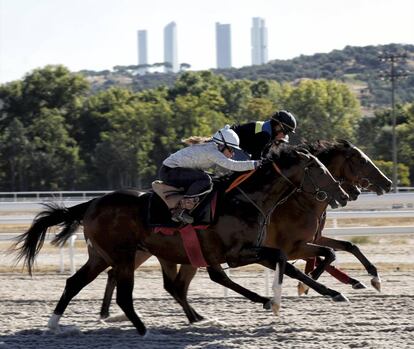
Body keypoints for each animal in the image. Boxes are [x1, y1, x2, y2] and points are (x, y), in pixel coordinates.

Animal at [13, 145, 350, 334]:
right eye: (317, 168)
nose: (343, 194)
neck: (246, 200)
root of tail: (92, 203)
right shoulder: (239, 253)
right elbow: (281, 262)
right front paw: (278, 301)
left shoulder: (250, 250)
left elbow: (287, 264)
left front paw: (330, 293)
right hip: (124, 255)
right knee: (124, 294)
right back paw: (142, 329)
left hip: (105, 255)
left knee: (75, 282)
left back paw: (53, 324)